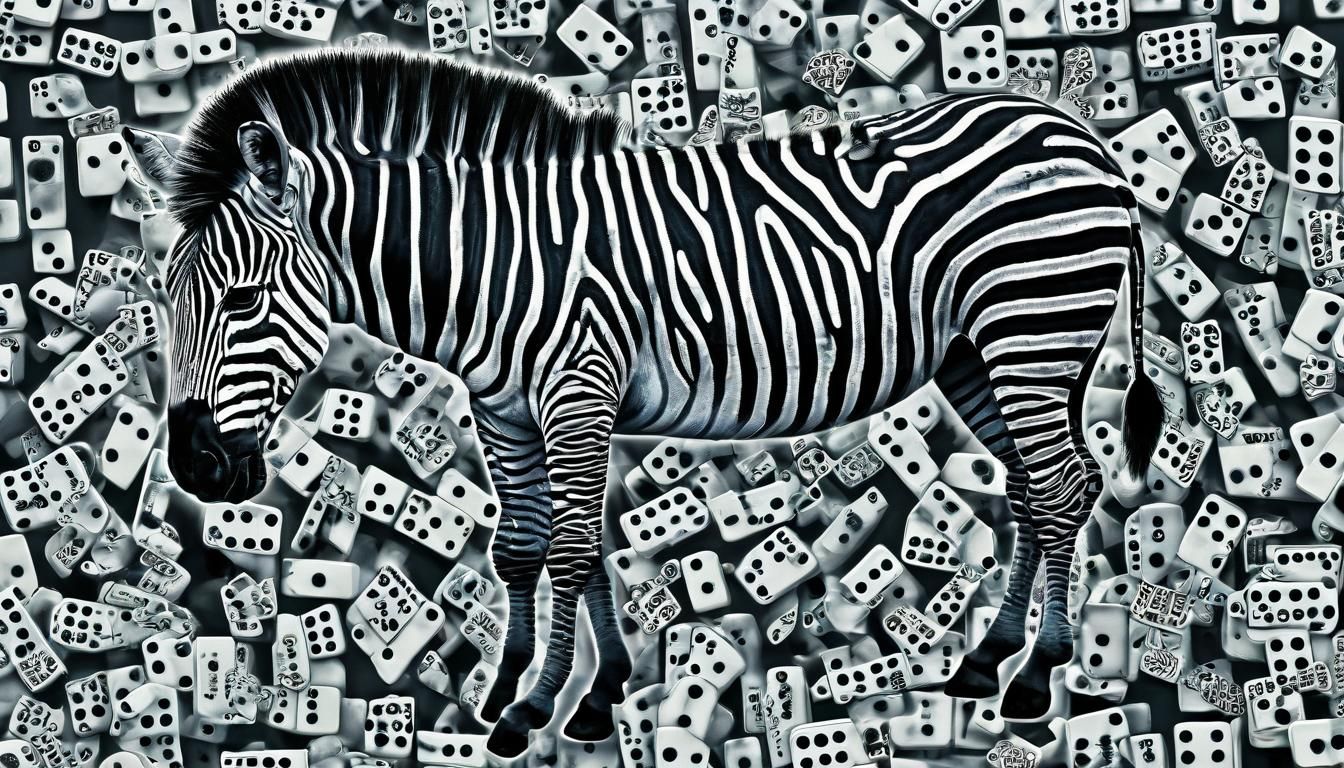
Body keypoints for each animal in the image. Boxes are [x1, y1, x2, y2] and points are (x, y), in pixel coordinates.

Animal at [130, 48, 1161, 749]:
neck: (489, 258)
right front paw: (548, 692)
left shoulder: (579, 387)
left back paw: (1035, 679)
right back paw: (990, 658)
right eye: (165, 299)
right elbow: (528, 548)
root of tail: (1080, 137)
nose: (194, 470)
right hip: (976, 353)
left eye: (243, 301)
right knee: (1035, 488)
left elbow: (572, 549)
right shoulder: (508, 410)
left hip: (1032, 331)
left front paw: (545, 706)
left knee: (1062, 487)